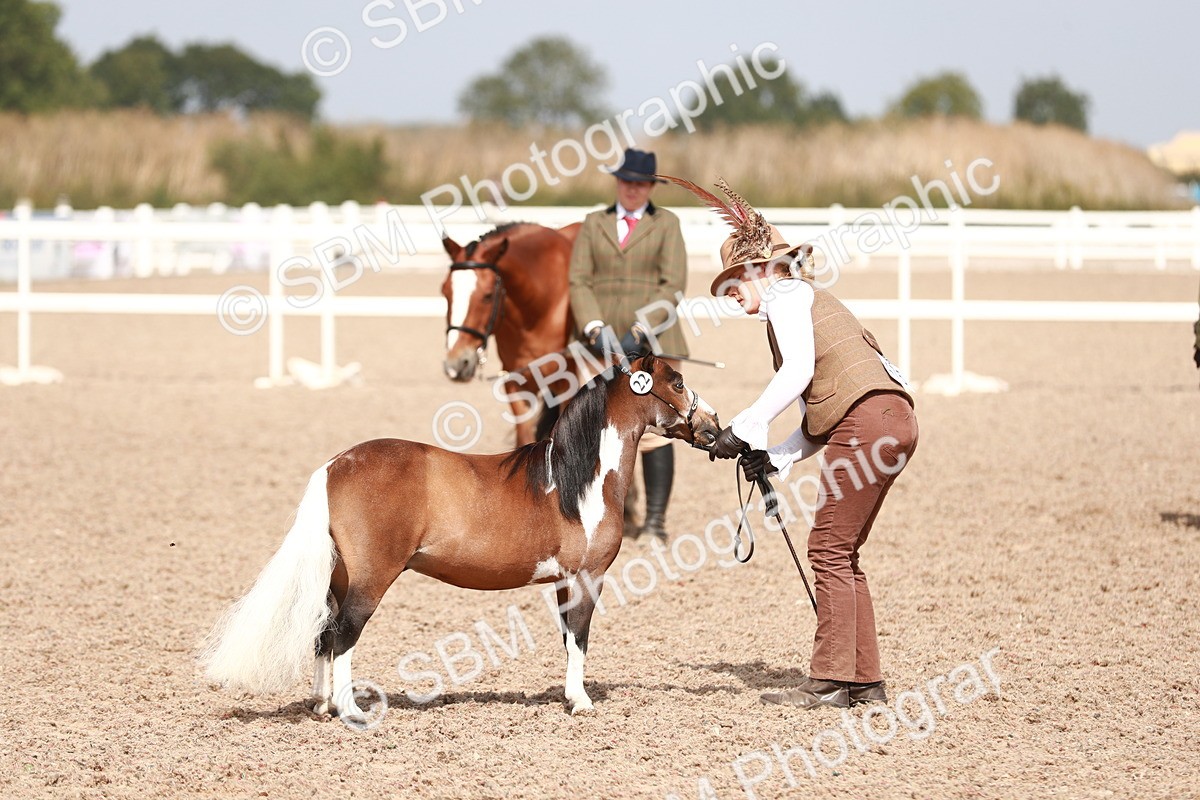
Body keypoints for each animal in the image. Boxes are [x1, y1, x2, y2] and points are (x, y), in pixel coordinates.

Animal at [198, 352, 720, 719]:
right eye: (676, 382)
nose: (712, 426)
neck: (579, 481)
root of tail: (335, 464)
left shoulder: (564, 582)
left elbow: (567, 638)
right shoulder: (588, 577)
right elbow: (580, 638)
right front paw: (581, 702)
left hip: (340, 579)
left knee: (323, 637)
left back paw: (322, 705)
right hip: (370, 580)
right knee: (343, 635)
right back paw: (350, 709)